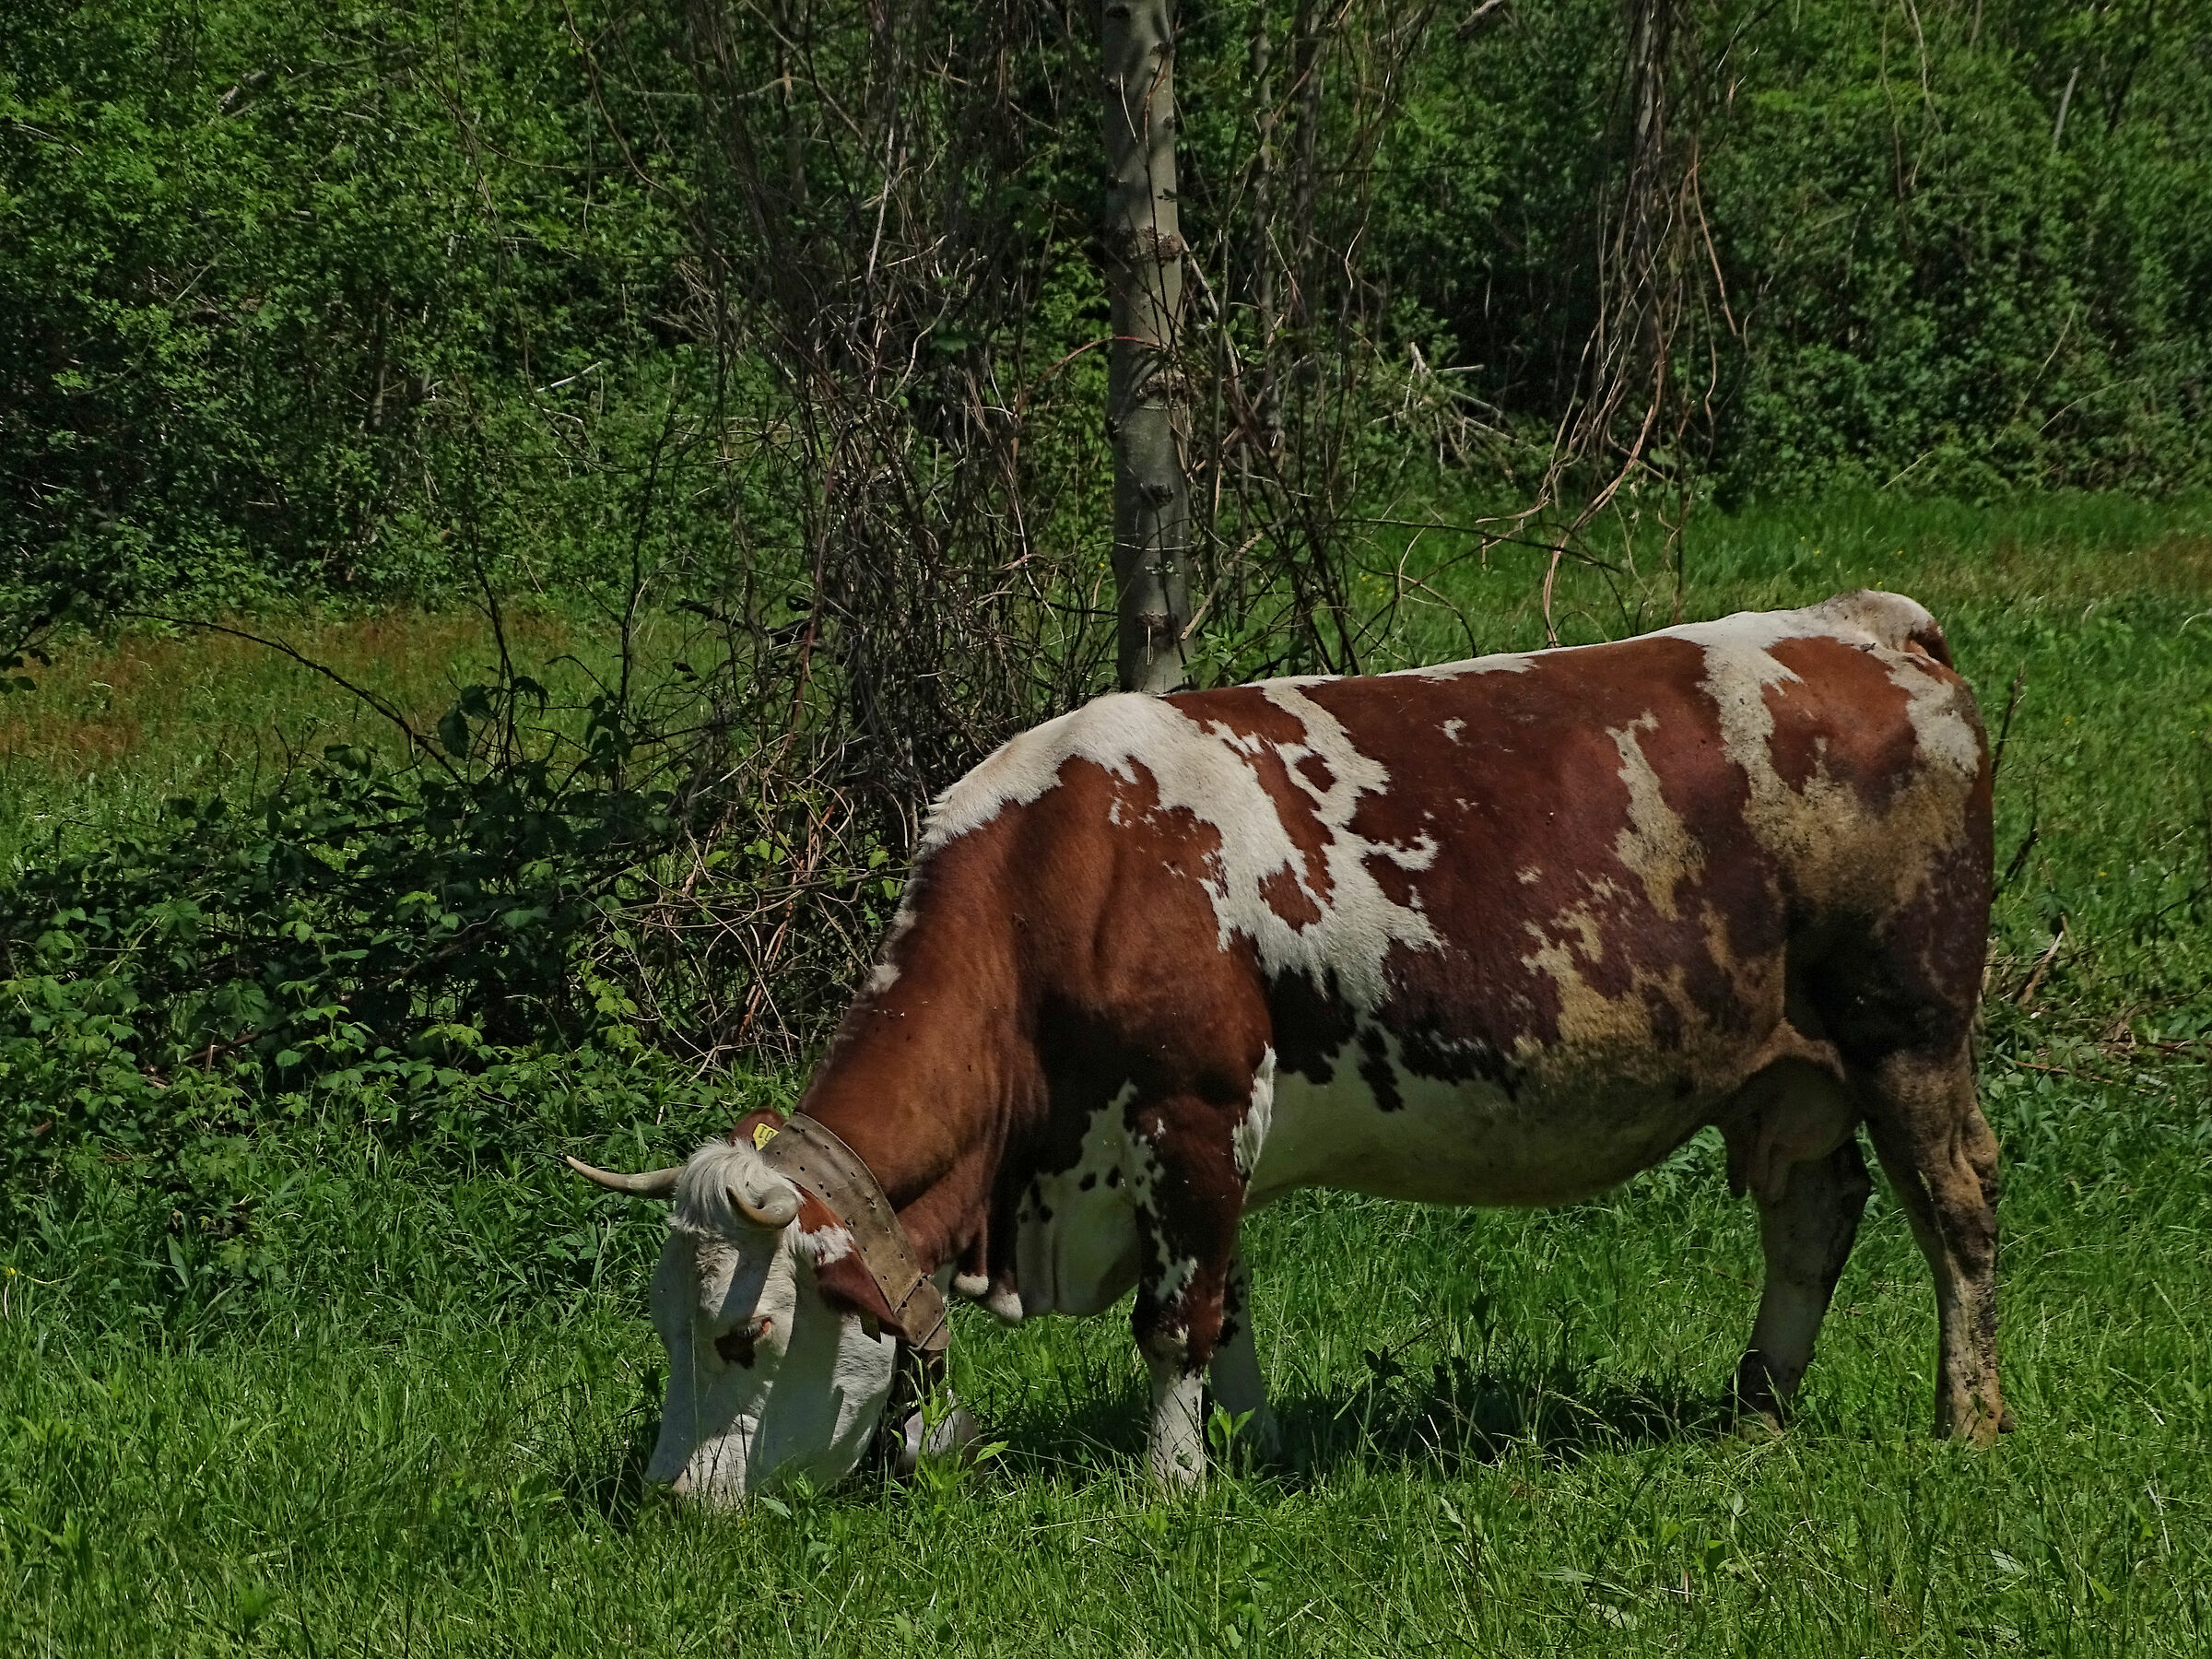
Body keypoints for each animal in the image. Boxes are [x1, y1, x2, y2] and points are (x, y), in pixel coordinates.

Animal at [569, 589, 2007, 1503]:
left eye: (745, 1340)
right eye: (660, 1327)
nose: (674, 1503)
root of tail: (1867, 624)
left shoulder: (1193, 1110)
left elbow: (1175, 1320)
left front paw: (1172, 1486)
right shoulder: (1209, 1148)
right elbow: (1234, 1300)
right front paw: (1254, 1452)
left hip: (1912, 1028)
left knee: (1958, 1209)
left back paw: (1969, 1422)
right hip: (1792, 1069)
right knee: (1813, 1214)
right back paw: (1756, 1405)